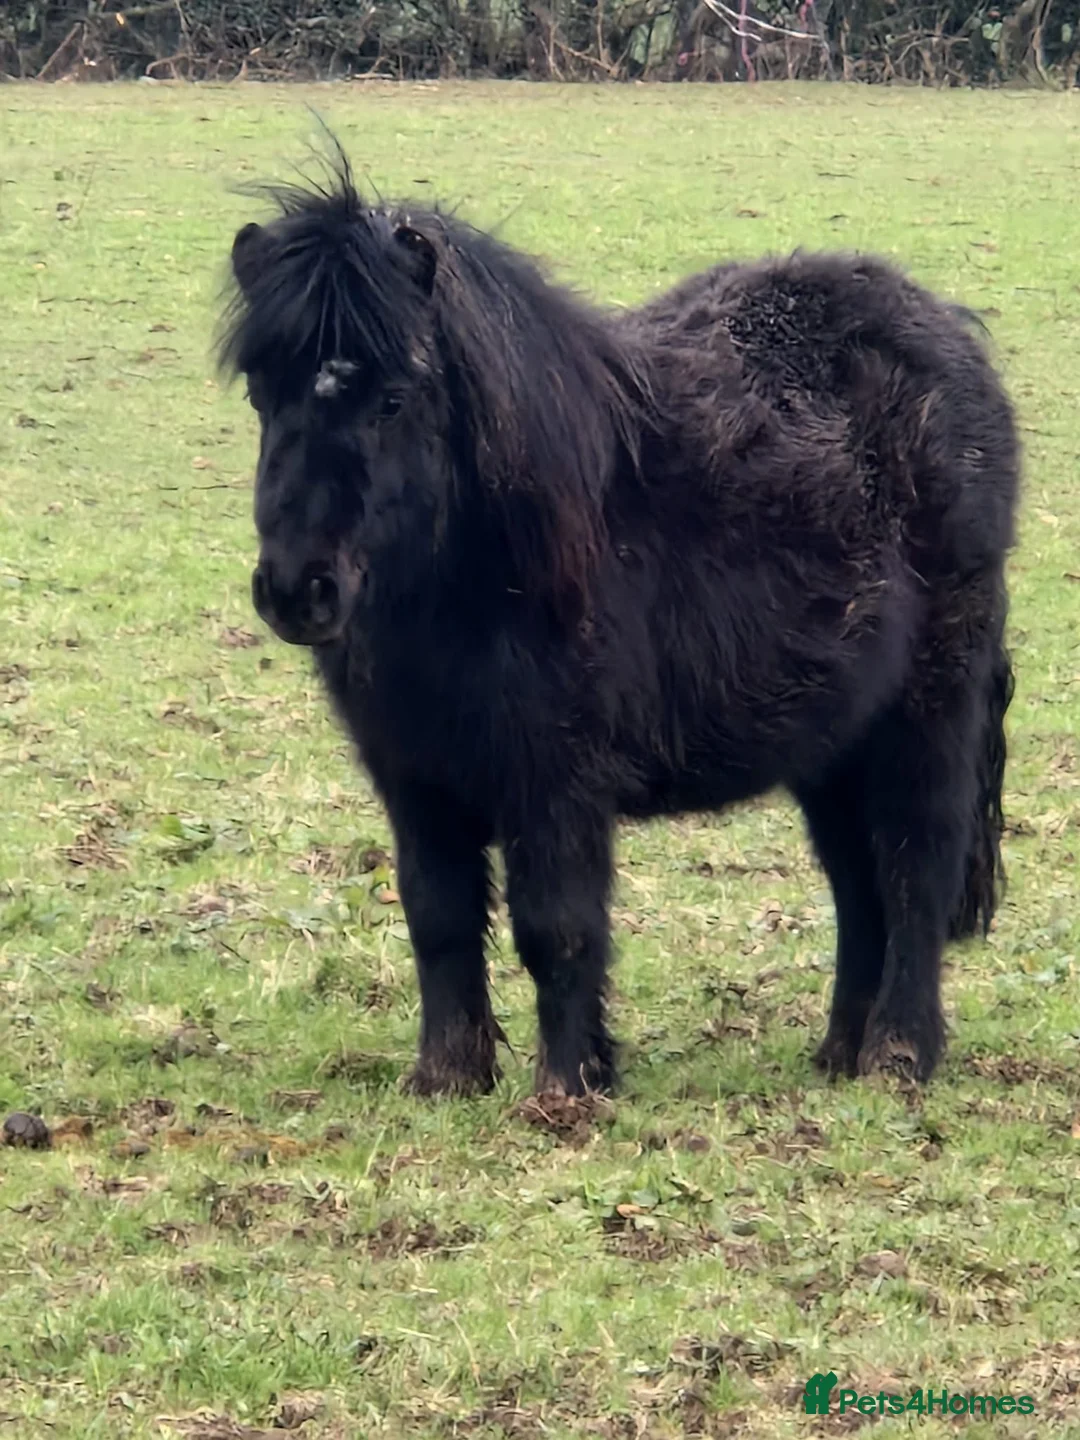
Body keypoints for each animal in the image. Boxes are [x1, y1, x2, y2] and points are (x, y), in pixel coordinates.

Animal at [219, 154, 1019, 1101]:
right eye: (261, 393)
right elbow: (438, 920)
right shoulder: (415, 778)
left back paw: (899, 1057)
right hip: (834, 741)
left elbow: (556, 927)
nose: (296, 589)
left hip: (927, 712)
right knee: (858, 887)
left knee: (914, 868)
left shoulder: (556, 777)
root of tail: (950, 339)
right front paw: (447, 1078)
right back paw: (837, 1055)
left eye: (392, 401)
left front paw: (567, 1090)